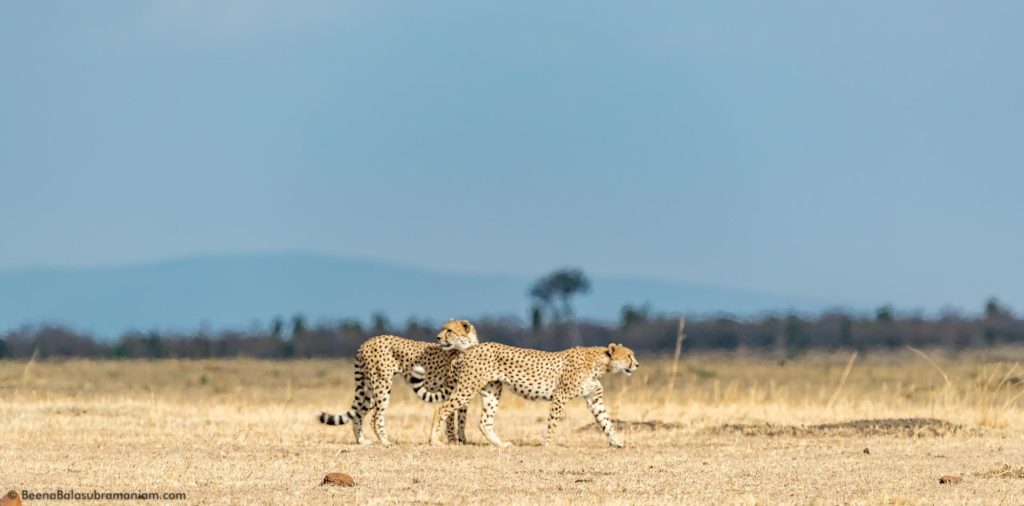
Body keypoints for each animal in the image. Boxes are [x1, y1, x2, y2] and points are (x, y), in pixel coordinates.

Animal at [315, 319, 479, 446]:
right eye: (443, 328)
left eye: (449, 330)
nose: (438, 337)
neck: (466, 347)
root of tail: (367, 341)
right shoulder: (452, 391)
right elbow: (450, 418)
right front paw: (452, 441)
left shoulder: (464, 392)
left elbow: (462, 419)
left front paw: (463, 440)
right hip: (382, 385)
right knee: (375, 417)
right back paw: (385, 442)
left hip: (369, 391)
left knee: (358, 414)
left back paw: (362, 441)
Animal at [411, 340, 634, 446]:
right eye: (629, 356)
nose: (637, 364)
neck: (601, 364)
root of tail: (468, 349)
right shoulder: (560, 396)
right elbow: (553, 423)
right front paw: (549, 444)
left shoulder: (593, 398)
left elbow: (606, 422)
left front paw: (617, 442)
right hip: (468, 387)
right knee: (441, 409)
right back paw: (434, 441)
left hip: (493, 390)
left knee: (484, 421)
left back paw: (500, 445)